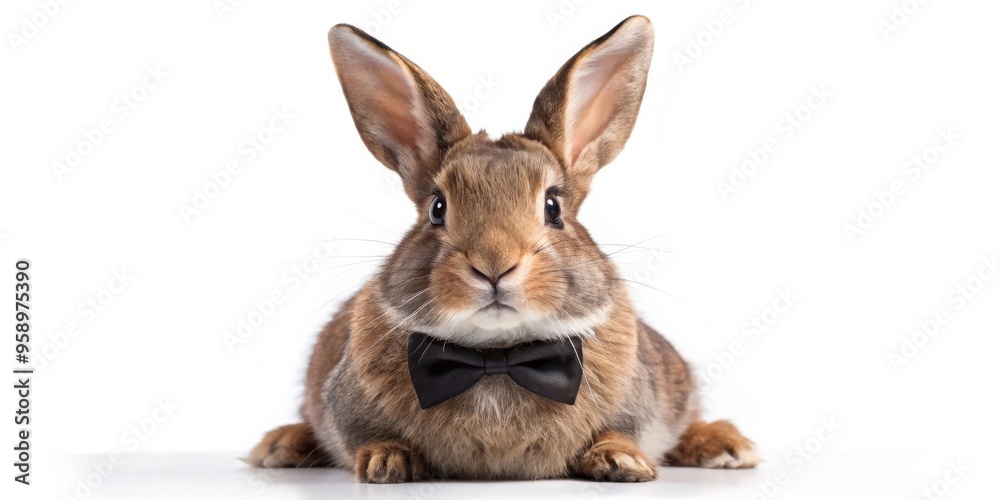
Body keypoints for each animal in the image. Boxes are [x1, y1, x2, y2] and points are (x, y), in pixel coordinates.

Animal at [246, 15, 760, 482]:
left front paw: (621, 461)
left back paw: (727, 447)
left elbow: (620, 432)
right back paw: (280, 445)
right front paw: (387, 461)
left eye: (553, 207)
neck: (496, 359)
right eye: (437, 208)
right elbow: (366, 436)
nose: (494, 265)